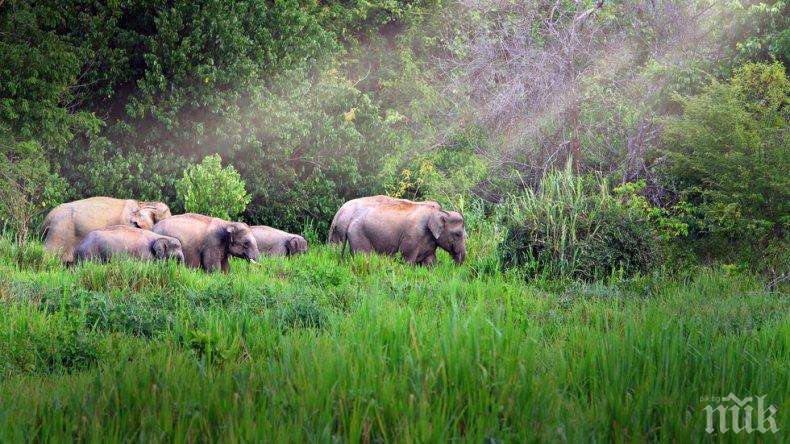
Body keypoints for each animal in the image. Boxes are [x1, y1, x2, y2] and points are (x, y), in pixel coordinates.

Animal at [338, 196, 468, 266]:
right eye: (458, 234)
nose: (454, 266)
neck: (438, 212)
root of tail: (350, 221)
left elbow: (429, 261)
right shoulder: (412, 237)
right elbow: (407, 260)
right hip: (358, 236)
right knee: (363, 257)